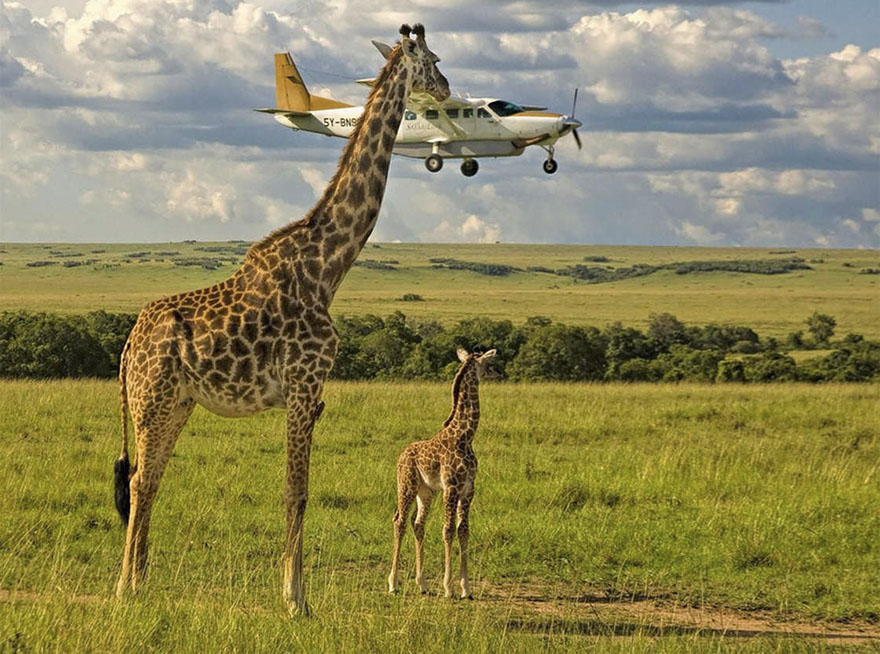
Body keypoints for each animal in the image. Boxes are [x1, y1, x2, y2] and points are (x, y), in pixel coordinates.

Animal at [112, 25, 446, 616]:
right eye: (431, 60)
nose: (448, 90)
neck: (328, 265)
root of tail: (129, 345)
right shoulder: (303, 386)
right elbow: (298, 490)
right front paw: (296, 600)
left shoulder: (311, 394)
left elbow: (297, 490)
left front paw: (295, 594)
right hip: (151, 401)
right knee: (138, 481)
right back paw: (128, 588)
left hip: (175, 403)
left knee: (148, 481)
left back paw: (140, 583)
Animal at [386, 348, 492, 600]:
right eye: (487, 362)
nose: (497, 372)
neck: (465, 436)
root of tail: (401, 455)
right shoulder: (451, 488)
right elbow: (448, 530)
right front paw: (448, 588)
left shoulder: (468, 490)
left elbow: (463, 530)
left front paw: (466, 589)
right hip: (406, 485)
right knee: (400, 521)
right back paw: (393, 584)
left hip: (426, 492)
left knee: (417, 524)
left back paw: (422, 584)